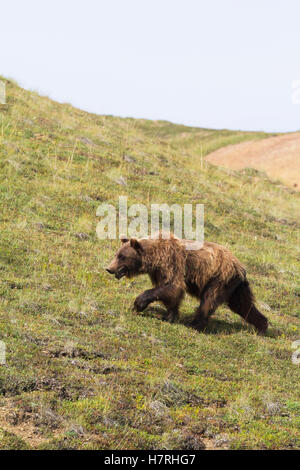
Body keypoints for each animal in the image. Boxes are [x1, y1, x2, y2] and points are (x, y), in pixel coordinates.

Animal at [106, 235, 268, 334]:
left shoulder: (171, 261)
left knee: (208, 301)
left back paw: (194, 324)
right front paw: (169, 315)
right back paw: (262, 326)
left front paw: (138, 304)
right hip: (236, 287)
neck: (154, 257)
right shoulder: (158, 271)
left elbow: (173, 286)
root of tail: (241, 268)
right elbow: (170, 293)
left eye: (122, 256)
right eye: (116, 254)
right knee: (243, 306)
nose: (109, 268)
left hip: (219, 279)